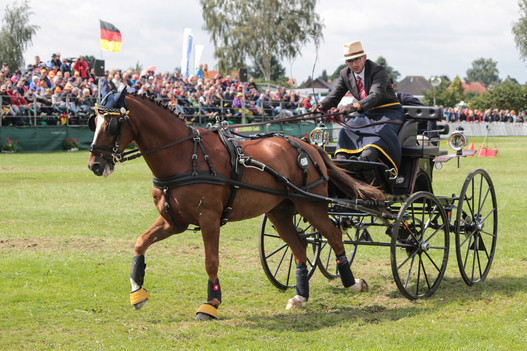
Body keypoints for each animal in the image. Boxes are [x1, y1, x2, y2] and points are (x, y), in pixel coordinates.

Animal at [87, 86, 388, 320]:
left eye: (111, 125)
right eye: (94, 122)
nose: (94, 165)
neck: (185, 155)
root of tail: (308, 145)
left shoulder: (208, 219)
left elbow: (211, 261)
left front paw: (211, 304)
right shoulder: (173, 221)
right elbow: (140, 243)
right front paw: (137, 293)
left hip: (310, 205)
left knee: (334, 235)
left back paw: (352, 283)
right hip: (280, 211)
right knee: (300, 245)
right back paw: (300, 296)